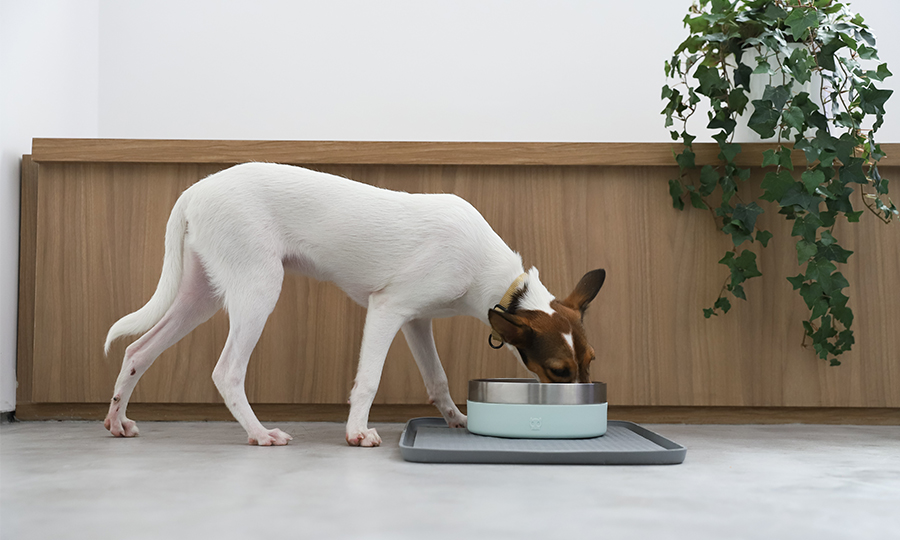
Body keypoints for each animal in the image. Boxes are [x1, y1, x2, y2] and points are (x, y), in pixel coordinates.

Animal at [105, 162, 604, 446]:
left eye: (590, 362)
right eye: (558, 371)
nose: (584, 407)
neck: (499, 280)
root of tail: (197, 189)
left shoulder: (416, 321)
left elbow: (438, 379)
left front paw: (456, 419)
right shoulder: (387, 309)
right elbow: (368, 380)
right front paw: (357, 432)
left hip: (201, 296)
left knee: (138, 351)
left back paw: (117, 420)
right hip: (259, 287)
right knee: (226, 372)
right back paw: (260, 434)